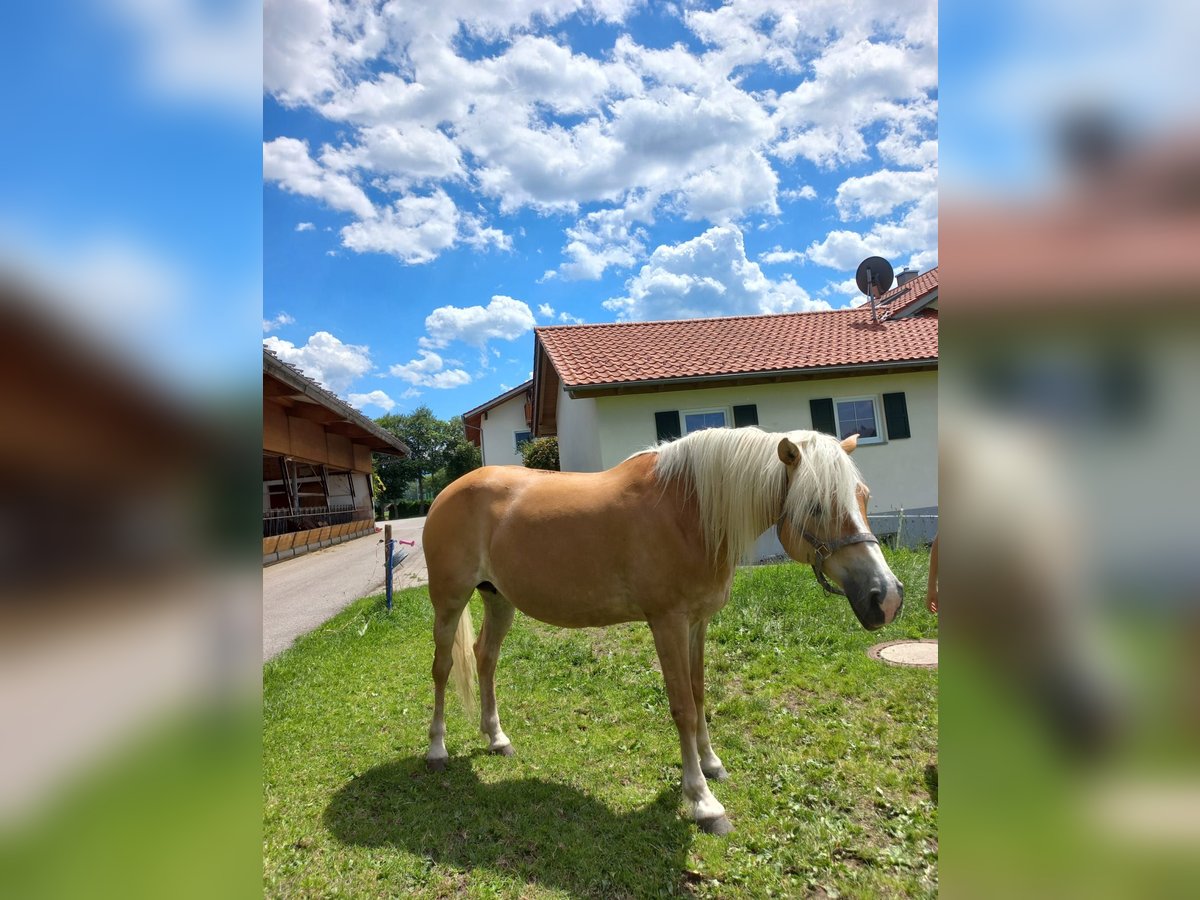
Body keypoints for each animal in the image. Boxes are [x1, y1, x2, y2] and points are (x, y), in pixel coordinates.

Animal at [420, 427, 902, 835]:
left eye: (863, 496)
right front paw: (703, 801)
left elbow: (700, 692)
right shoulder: (667, 621)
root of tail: (446, 493)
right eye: (817, 505)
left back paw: (496, 738)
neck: (690, 511)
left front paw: (711, 764)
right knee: (442, 668)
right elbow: (683, 707)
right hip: (449, 602)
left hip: (499, 599)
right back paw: (437, 750)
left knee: (485, 658)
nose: (887, 597)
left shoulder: (696, 622)